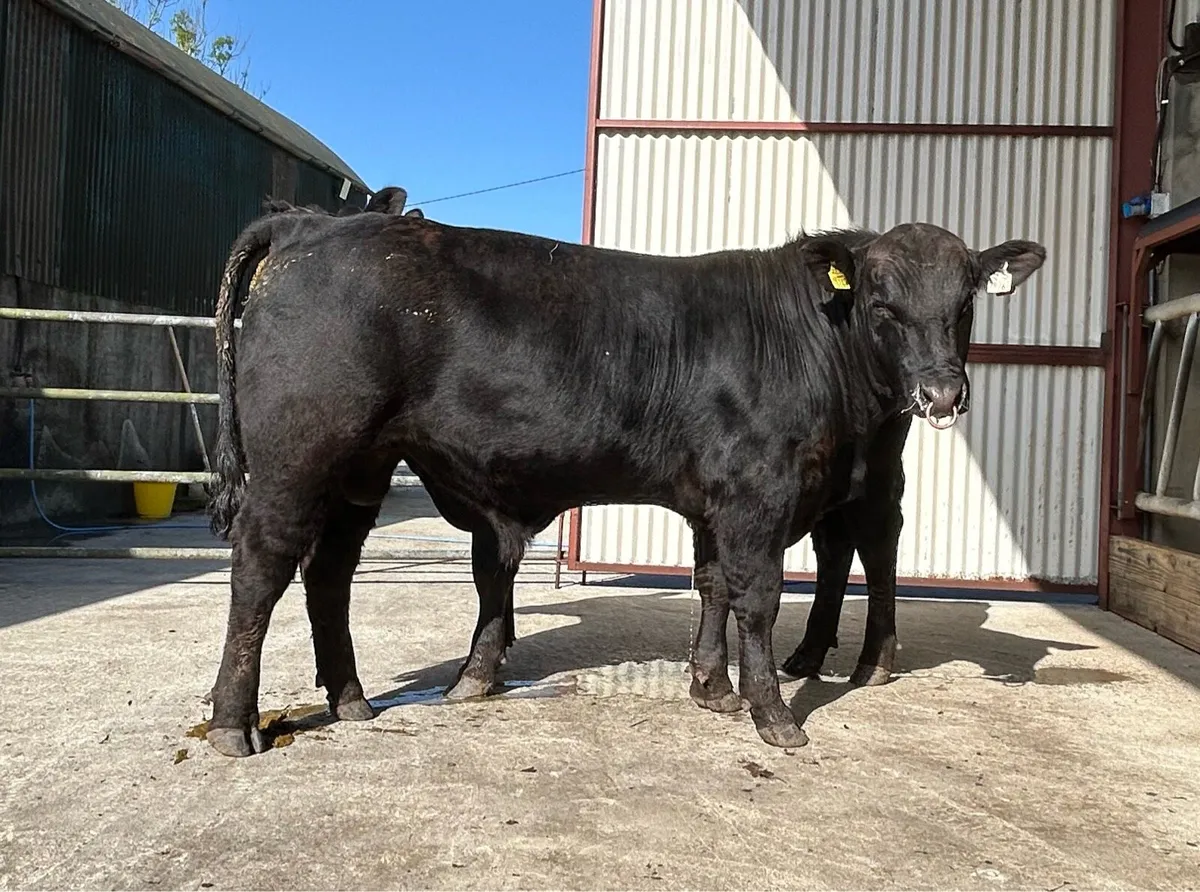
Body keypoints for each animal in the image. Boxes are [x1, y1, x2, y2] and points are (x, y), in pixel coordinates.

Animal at [202, 207, 1045, 757]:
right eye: (880, 302)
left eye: (965, 302)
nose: (942, 392)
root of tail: (310, 225)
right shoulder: (758, 496)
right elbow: (759, 599)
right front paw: (774, 716)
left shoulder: (717, 500)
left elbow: (713, 584)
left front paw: (711, 687)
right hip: (297, 458)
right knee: (262, 569)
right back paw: (232, 724)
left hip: (360, 472)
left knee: (329, 574)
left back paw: (351, 701)